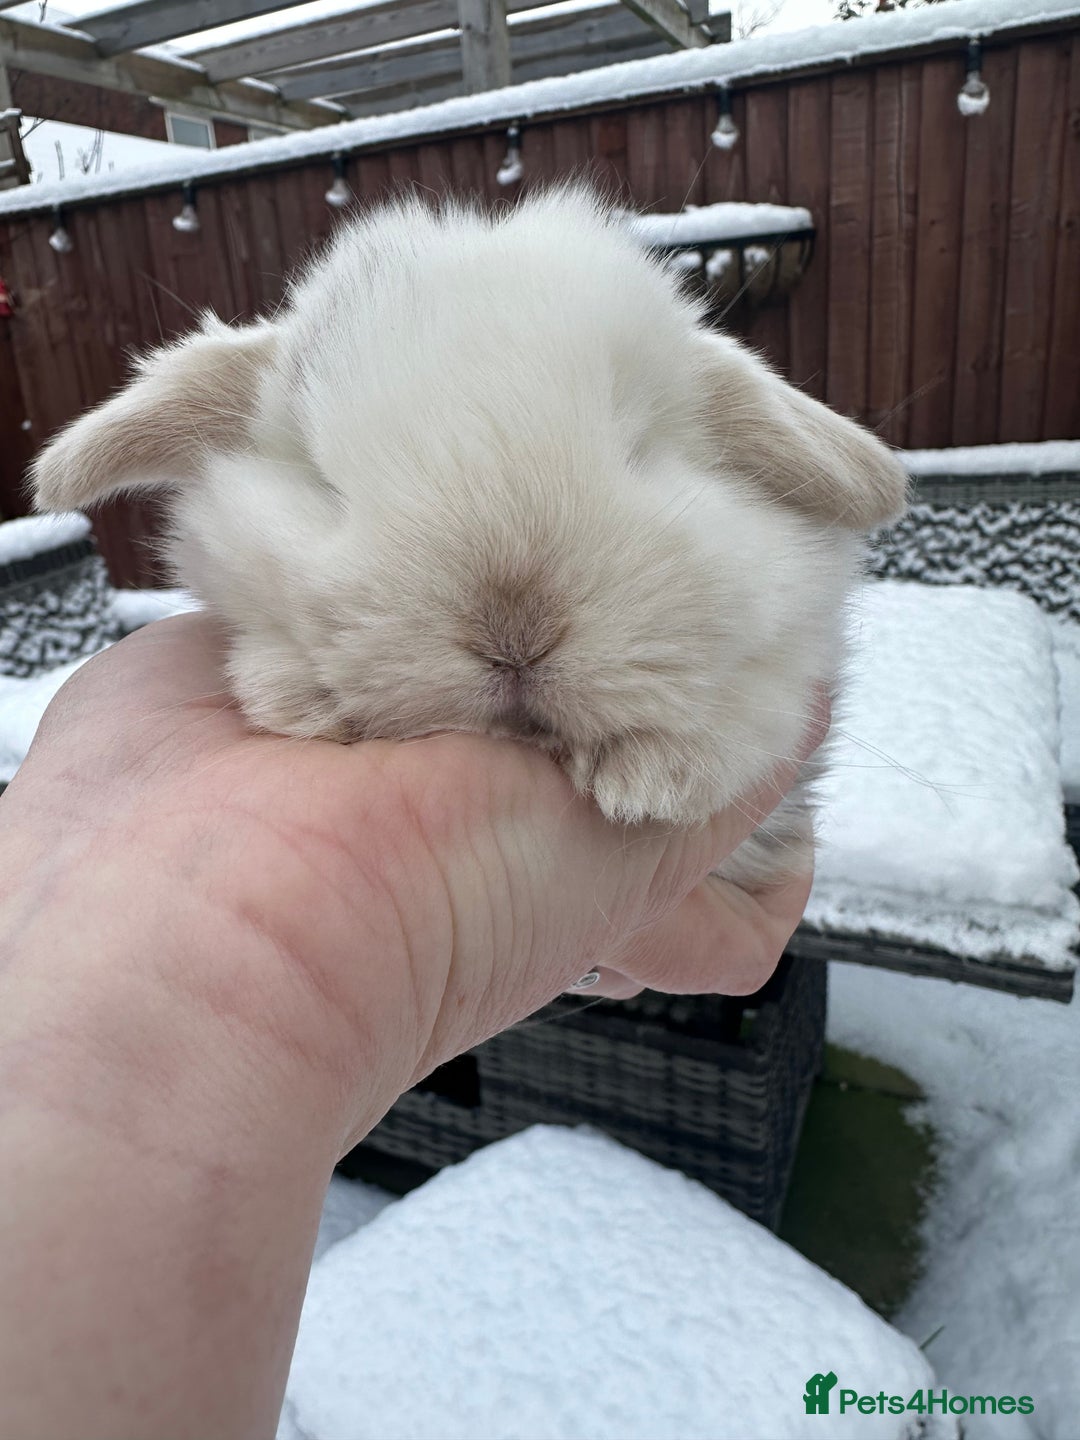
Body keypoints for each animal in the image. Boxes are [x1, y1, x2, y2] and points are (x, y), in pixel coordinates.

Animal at [31, 185, 907, 889]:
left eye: (643, 451)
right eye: (324, 478)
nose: (514, 632)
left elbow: (765, 702)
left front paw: (656, 776)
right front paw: (302, 697)